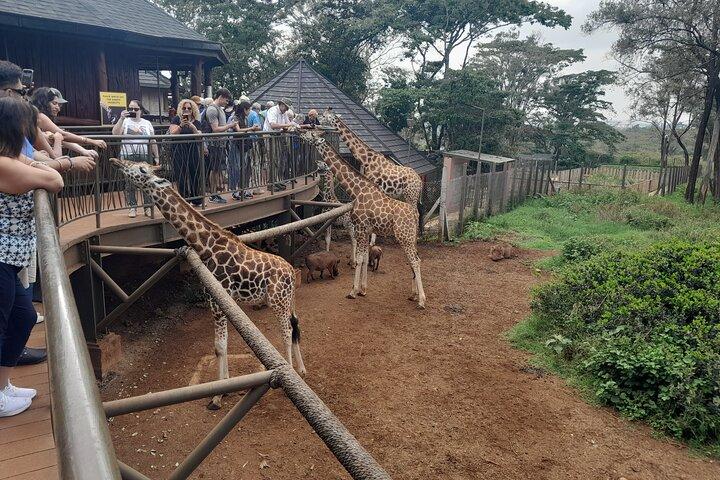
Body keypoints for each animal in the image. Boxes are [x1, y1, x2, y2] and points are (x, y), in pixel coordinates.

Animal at [110, 158, 306, 409]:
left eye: (142, 169)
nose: (115, 161)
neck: (206, 246)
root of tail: (290, 270)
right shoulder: (222, 300)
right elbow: (221, 345)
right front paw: (225, 388)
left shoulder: (215, 300)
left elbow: (219, 346)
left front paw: (217, 397)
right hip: (288, 300)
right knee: (295, 325)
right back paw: (301, 369)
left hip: (277, 301)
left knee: (286, 330)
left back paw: (290, 371)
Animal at [299, 130, 426, 308]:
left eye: (311, 133)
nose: (300, 133)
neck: (356, 190)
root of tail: (415, 215)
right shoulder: (366, 230)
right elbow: (365, 257)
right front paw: (363, 289)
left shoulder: (359, 227)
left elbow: (359, 258)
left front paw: (353, 291)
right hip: (410, 236)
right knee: (414, 259)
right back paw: (413, 295)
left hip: (404, 236)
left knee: (415, 261)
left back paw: (421, 300)